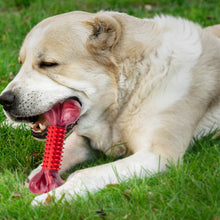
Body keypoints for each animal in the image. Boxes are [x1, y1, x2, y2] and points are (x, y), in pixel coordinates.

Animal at [0, 11, 220, 205]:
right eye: (21, 63)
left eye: (48, 64)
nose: (4, 100)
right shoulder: (84, 138)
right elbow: (54, 159)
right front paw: (32, 182)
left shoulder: (159, 154)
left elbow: (84, 174)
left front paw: (52, 197)